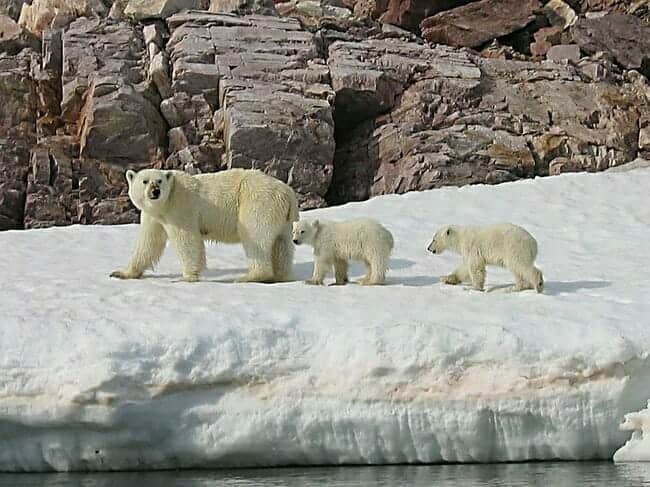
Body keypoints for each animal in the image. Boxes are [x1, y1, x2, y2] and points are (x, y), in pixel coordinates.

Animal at [110, 168, 299, 283]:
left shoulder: (180, 208)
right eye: (145, 181)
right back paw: (280, 276)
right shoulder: (154, 216)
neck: (165, 203)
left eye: (159, 180)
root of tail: (288, 193)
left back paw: (249, 276)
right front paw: (121, 273)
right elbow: (149, 243)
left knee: (255, 237)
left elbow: (187, 240)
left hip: (257, 201)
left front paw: (185, 277)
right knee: (282, 246)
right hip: (283, 219)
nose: (155, 191)